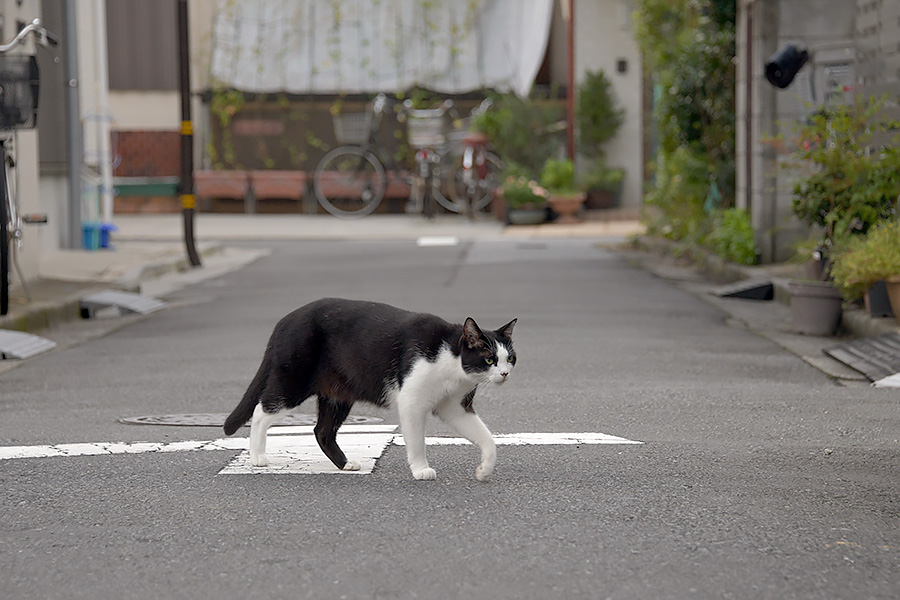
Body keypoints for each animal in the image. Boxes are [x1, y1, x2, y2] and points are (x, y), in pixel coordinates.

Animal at [222, 298, 516, 480]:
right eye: (489, 359)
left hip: (337, 394)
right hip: (293, 381)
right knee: (261, 411)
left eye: (510, 358)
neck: (451, 360)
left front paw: (485, 469)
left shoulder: (455, 406)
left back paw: (345, 464)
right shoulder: (411, 401)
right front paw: (421, 470)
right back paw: (258, 456)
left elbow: (486, 437)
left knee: (322, 430)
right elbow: (416, 441)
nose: (504, 374)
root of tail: (285, 320)